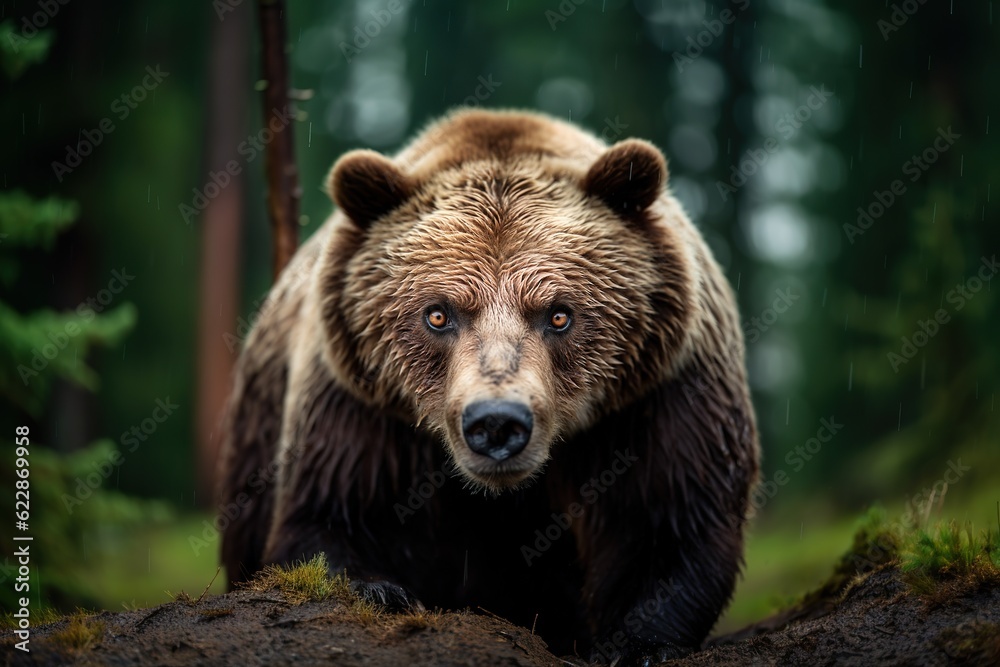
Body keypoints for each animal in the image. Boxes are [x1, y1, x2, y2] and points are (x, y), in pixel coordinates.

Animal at [219, 108, 760, 664]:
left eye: (559, 314)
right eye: (437, 313)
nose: (497, 422)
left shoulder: (656, 394)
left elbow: (669, 519)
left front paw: (637, 644)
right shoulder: (362, 405)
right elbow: (329, 515)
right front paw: (380, 590)